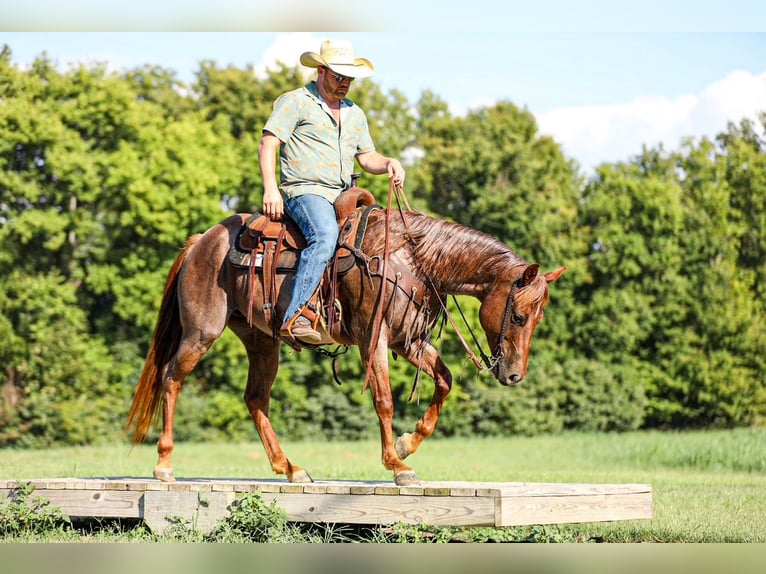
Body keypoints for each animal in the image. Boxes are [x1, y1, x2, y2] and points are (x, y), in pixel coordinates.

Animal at [126, 205, 566, 486]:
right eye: (520, 316)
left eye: (539, 318)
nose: (514, 375)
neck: (408, 258)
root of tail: (203, 241)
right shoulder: (375, 338)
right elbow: (384, 399)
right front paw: (397, 466)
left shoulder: (409, 341)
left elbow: (445, 380)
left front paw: (407, 443)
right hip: (201, 332)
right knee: (171, 379)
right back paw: (164, 464)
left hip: (261, 341)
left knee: (255, 399)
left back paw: (290, 468)